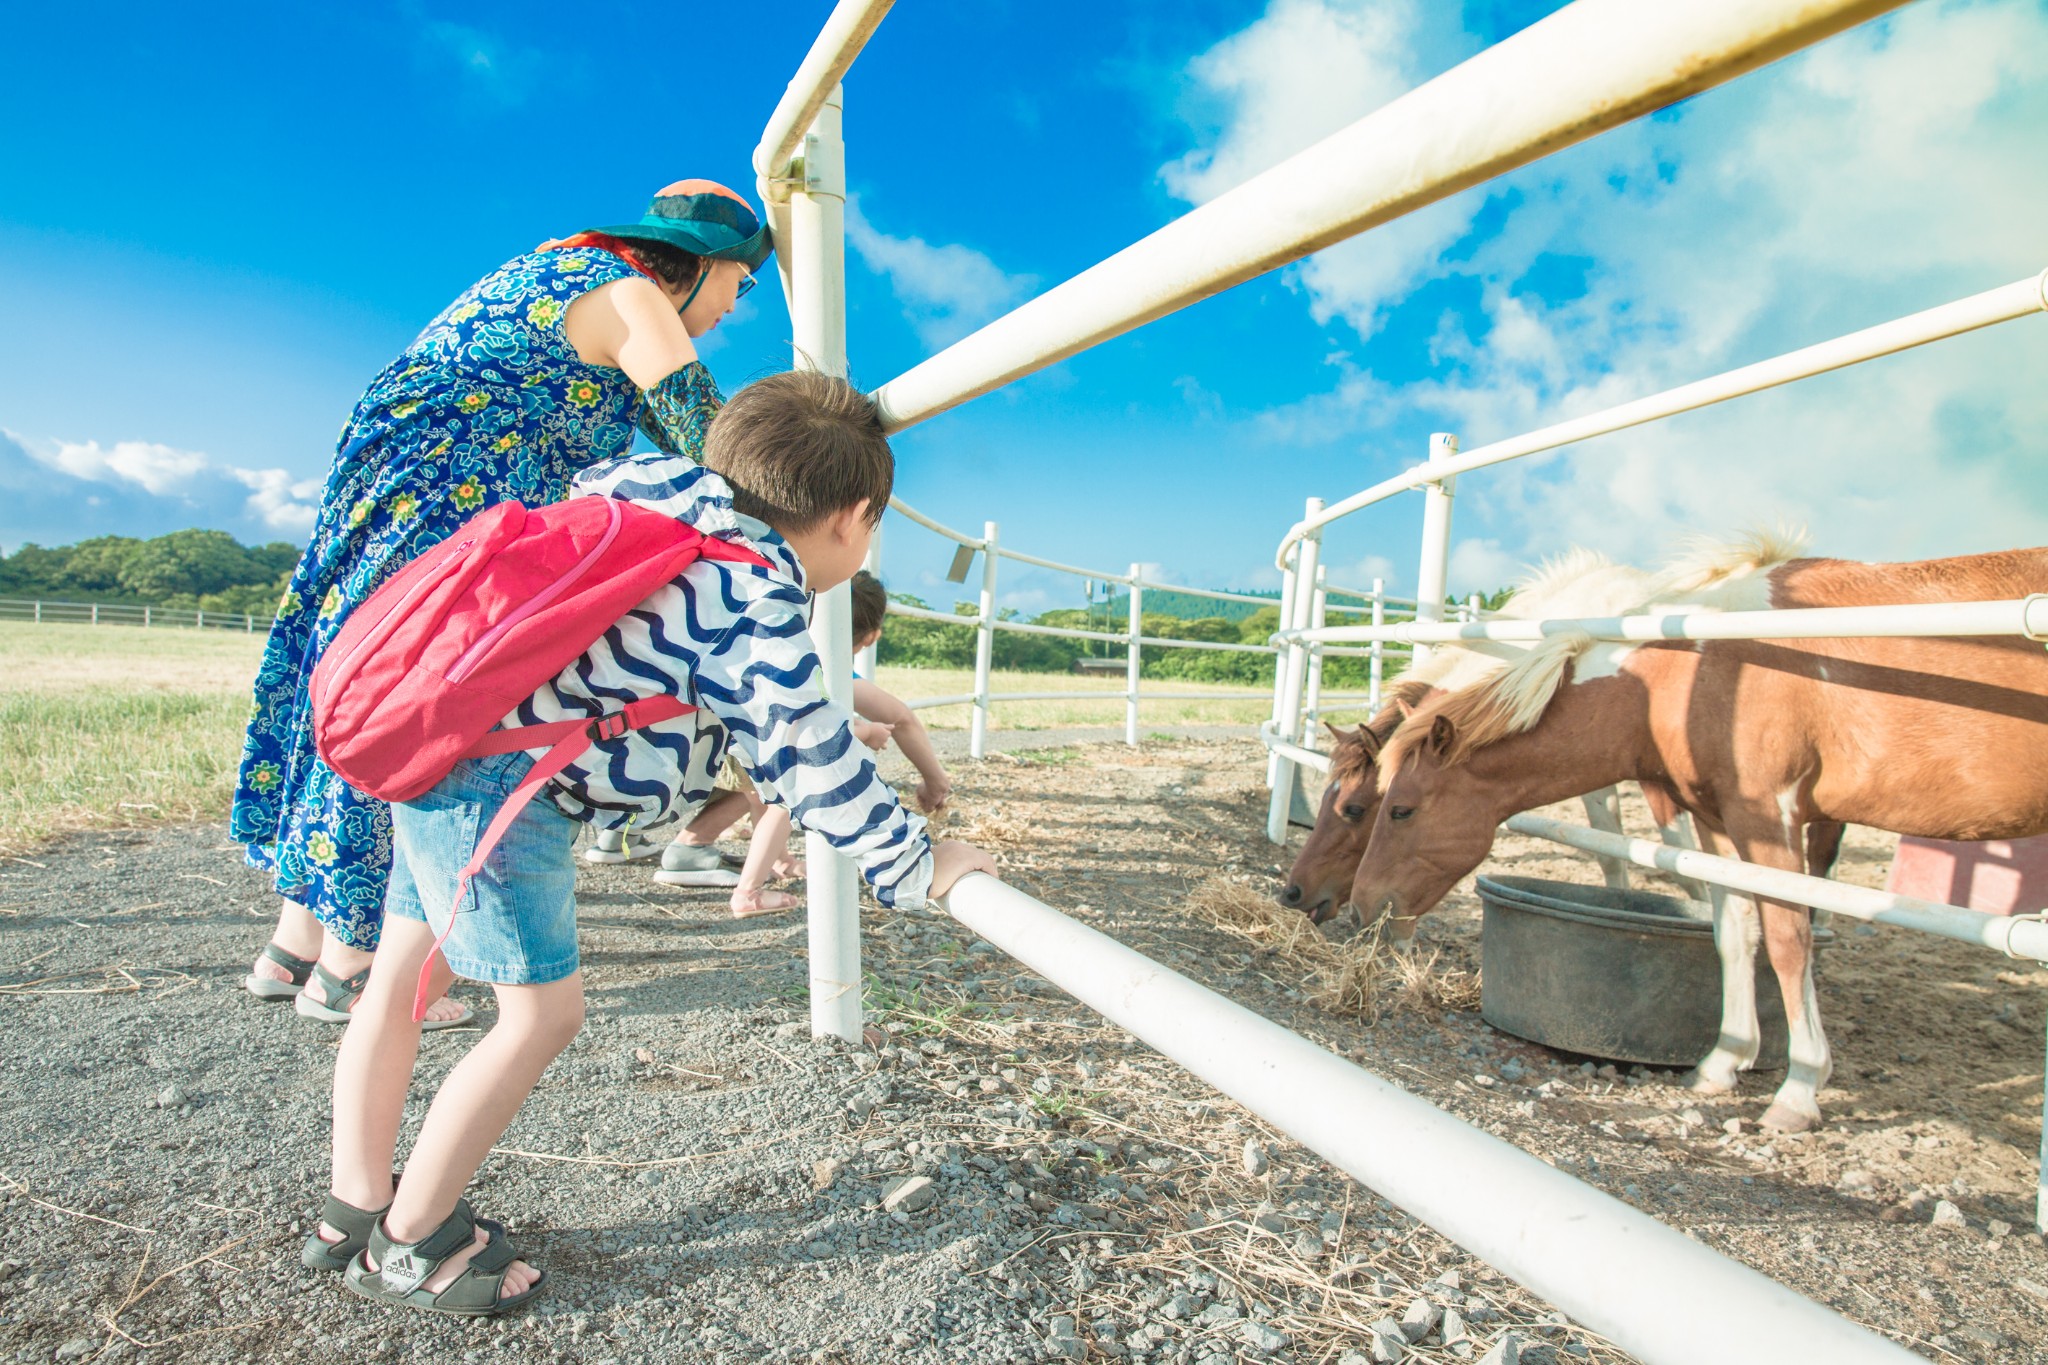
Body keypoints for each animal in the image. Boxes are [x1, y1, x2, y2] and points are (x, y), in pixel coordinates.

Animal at [1351, 540, 2039, 1129]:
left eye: (1399, 810)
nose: (1361, 906)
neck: (1693, 671)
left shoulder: (1767, 817)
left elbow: (1787, 941)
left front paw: (1799, 1088)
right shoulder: (1718, 822)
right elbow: (1732, 932)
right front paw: (1721, 1062)